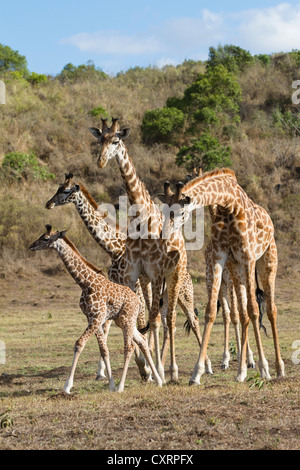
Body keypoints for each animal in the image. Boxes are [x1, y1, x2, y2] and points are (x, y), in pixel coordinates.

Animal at [29, 224, 163, 392]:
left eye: (46, 238)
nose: (31, 246)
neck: (85, 283)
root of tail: (138, 301)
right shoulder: (93, 318)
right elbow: (104, 350)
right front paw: (110, 384)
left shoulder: (97, 318)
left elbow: (79, 344)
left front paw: (67, 386)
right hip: (122, 320)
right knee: (142, 341)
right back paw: (158, 380)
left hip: (126, 319)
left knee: (129, 346)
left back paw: (122, 386)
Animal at [88, 117, 211, 382]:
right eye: (99, 139)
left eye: (116, 141)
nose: (101, 161)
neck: (141, 216)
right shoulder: (133, 275)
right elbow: (134, 318)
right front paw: (144, 367)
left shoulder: (155, 273)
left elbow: (153, 320)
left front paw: (158, 370)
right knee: (161, 316)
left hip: (174, 277)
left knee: (172, 318)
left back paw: (174, 370)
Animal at [163, 169, 284, 386]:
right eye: (163, 209)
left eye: (181, 212)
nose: (165, 234)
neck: (228, 203)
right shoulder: (220, 257)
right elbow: (211, 311)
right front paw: (197, 373)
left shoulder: (248, 256)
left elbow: (254, 310)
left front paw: (264, 368)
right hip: (236, 269)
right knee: (242, 313)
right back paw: (242, 371)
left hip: (267, 262)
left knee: (270, 310)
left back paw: (278, 368)